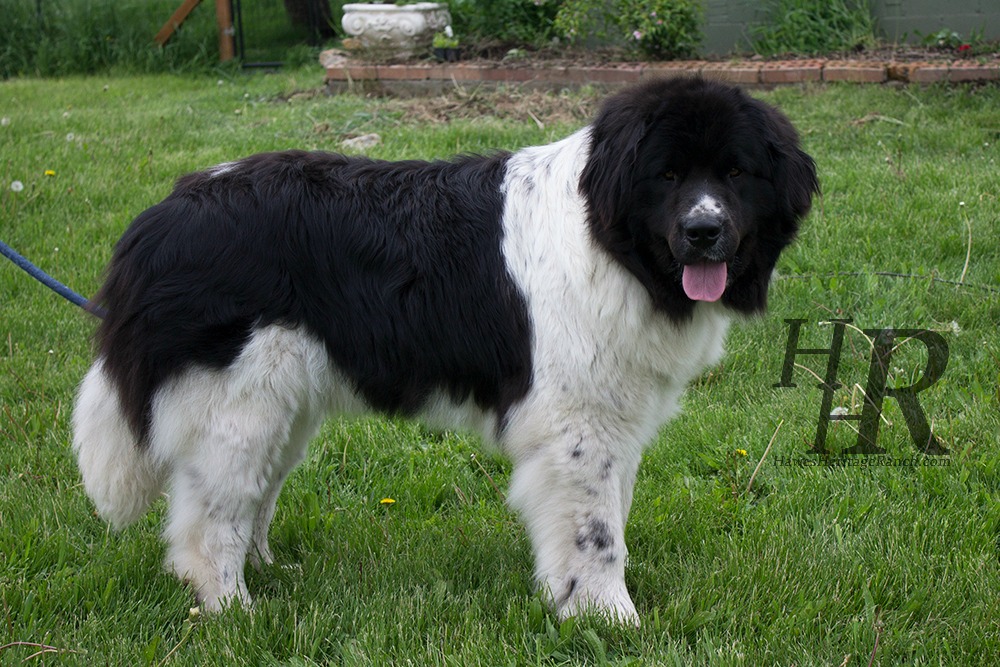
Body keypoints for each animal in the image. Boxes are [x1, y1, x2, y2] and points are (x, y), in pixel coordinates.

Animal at [74, 77, 816, 620]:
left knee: (252, 495)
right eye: (665, 175)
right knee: (210, 520)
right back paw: (236, 610)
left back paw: (271, 572)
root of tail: (162, 216)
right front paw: (609, 618)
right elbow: (596, 531)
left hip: (285, 405)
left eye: (736, 173)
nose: (703, 231)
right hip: (236, 406)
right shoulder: (577, 426)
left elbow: (607, 516)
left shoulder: (615, 417)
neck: (612, 244)